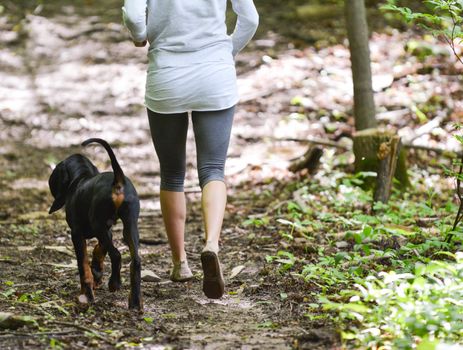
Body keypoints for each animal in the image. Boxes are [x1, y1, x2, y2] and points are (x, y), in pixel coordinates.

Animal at [48, 138, 143, 310]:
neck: (80, 177)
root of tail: (118, 181)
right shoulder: (108, 229)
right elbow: (99, 249)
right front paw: (97, 274)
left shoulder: (77, 234)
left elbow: (83, 267)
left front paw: (87, 293)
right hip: (130, 225)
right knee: (136, 261)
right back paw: (135, 301)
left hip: (98, 225)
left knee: (116, 254)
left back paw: (114, 283)